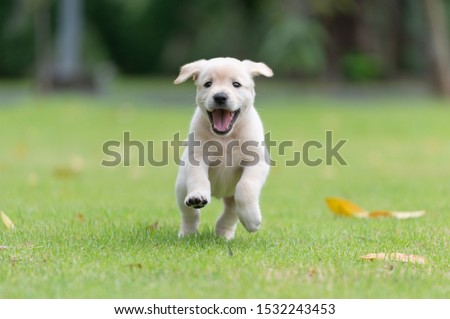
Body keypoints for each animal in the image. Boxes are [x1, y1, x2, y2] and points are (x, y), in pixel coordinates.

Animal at [174, 57, 272, 240]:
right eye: (208, 84)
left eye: (236, 84)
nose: (220, 97)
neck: (225, 138)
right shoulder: (197, 157)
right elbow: (199, 178)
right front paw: (198, 195)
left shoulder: (257, 162)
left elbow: (245, 186)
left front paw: (252, 220)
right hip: (181, 187)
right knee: (189, 214)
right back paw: (188, 232)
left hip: (231, 197)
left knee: (231, 213)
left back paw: (224, 233)